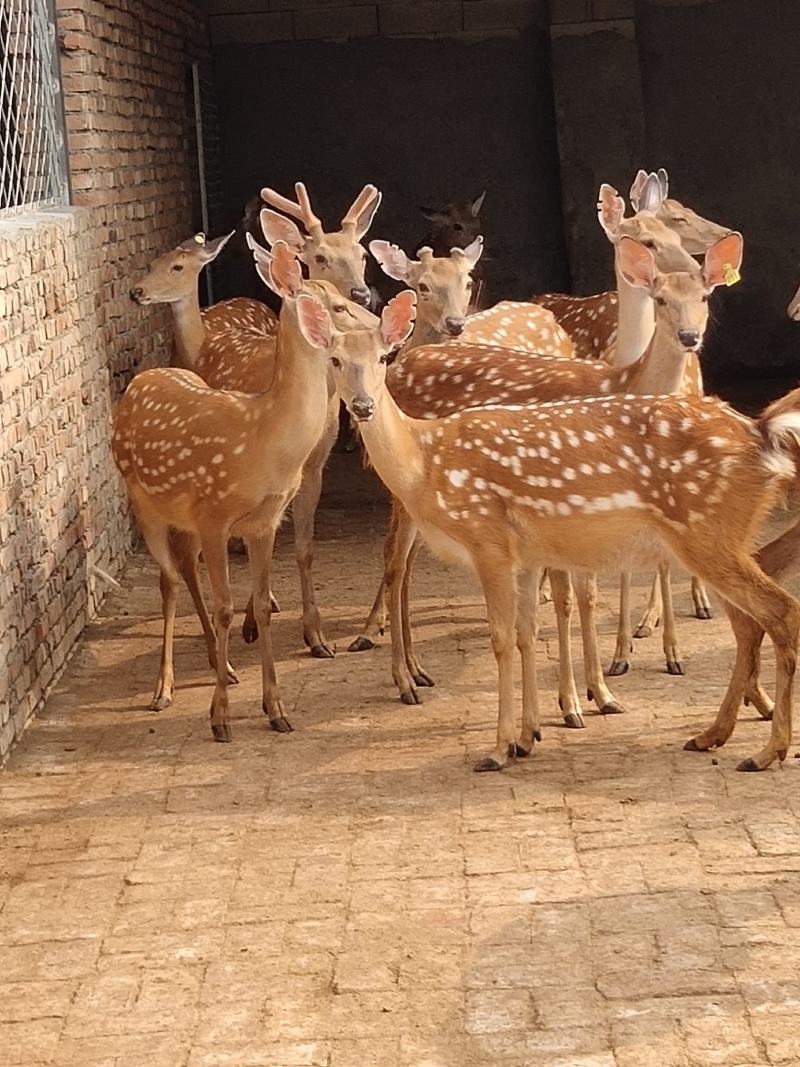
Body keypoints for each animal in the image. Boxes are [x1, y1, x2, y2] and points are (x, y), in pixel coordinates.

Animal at [113, 241, 407, 736]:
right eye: (335, 304)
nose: (379, 323)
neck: (262, 436)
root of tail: (142, 378)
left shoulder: (264, 521)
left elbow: (265, 605)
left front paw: (276, 708)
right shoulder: (214, 515)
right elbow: (225, 607)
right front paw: (219, 717)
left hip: (183, 515)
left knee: (183, 567)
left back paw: (222, 665)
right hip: (142, 500)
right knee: (168, 579)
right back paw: (164, 688)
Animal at [324, 283, 800, 773]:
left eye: (382, 357)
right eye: (333, 359)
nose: (362, 406)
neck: (426, 461)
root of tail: (762, 434)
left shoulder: (489, 541)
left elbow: (504, 637)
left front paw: (501, 747)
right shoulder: (527, 553)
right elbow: (526, 632)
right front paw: (528, 735)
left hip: (707, 532)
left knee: (779, 611)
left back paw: (767, 748)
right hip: (719, 536)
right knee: (753, 619)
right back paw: (717, 734)